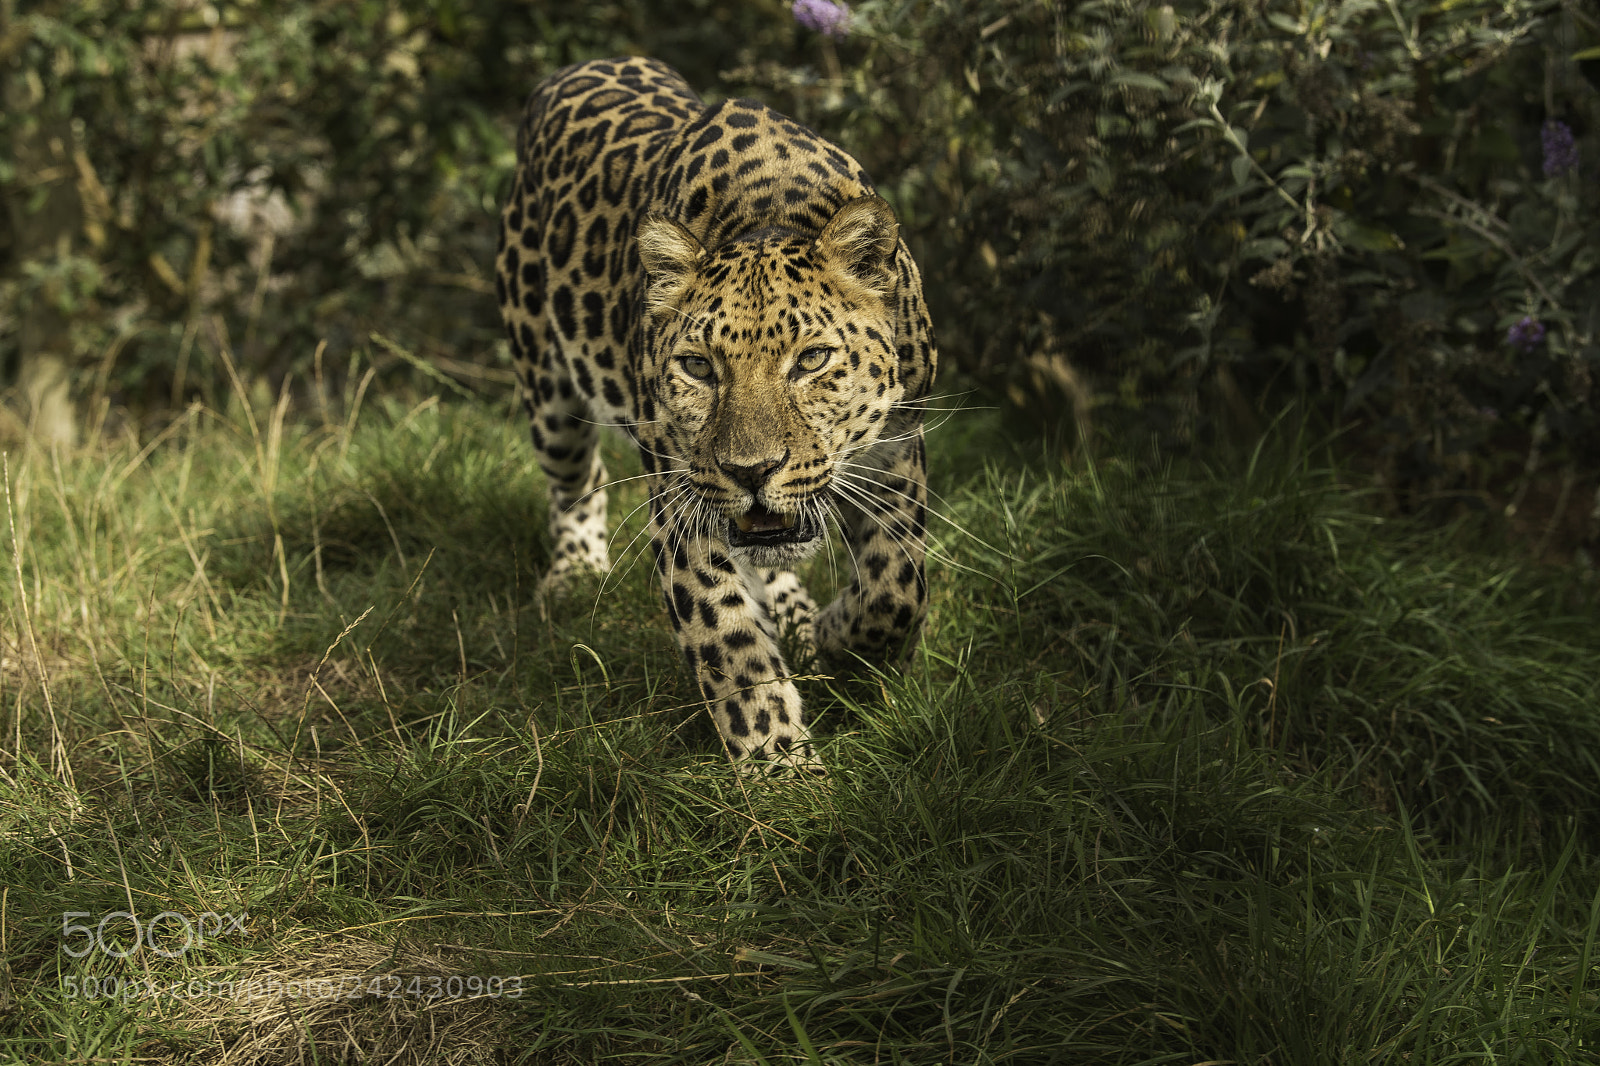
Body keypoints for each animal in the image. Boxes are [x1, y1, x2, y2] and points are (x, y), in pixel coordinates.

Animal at [495, 58, 936, 771]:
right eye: (699, 367)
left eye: (812, 360)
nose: (750, 471)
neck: (770, 214)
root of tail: (579, 67)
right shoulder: (682, 496)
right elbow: (732, 647)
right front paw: (782, 771)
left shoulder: (897, 449)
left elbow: (898, 587)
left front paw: (836, 638)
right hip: (547, 387)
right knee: (575, 482)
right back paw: (575, 573)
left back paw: (797, 614)